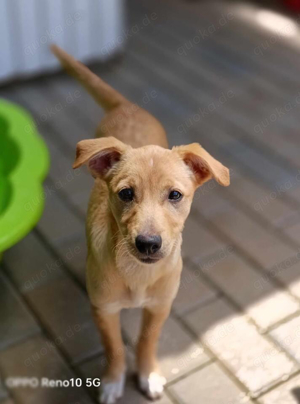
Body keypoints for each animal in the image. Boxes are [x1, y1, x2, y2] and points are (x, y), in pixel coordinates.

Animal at [51, 45, 230, 404]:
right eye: (125, 194)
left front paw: (148, 374)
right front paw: (112, 381)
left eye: (175, 195)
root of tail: (126, 105)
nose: (148, 243)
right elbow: (114, 348)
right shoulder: (103, 309)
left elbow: (148, 340)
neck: (137, 274)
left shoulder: (160, 306)